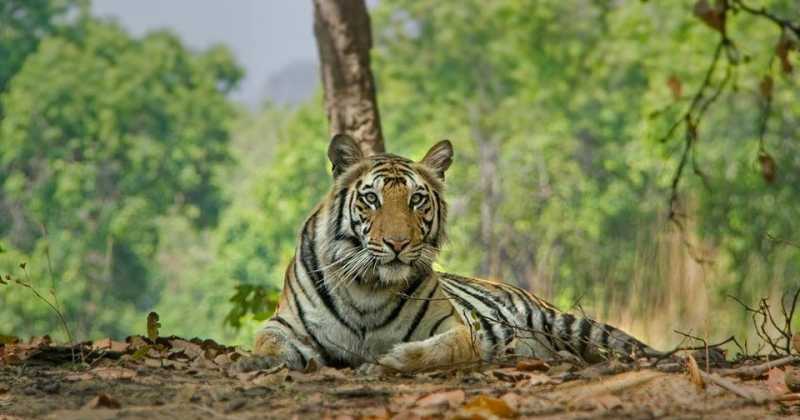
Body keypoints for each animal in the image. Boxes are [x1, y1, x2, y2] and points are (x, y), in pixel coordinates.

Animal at [236, 134, 659, 374]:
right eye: (371, 199)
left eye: (416, 200)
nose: (397, 244)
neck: (368, 288)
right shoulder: (285, 323)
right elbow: (268, 341)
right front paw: (268, 361)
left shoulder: (460, 329)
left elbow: (438, 351)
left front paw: (387, 362)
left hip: (567, 324)